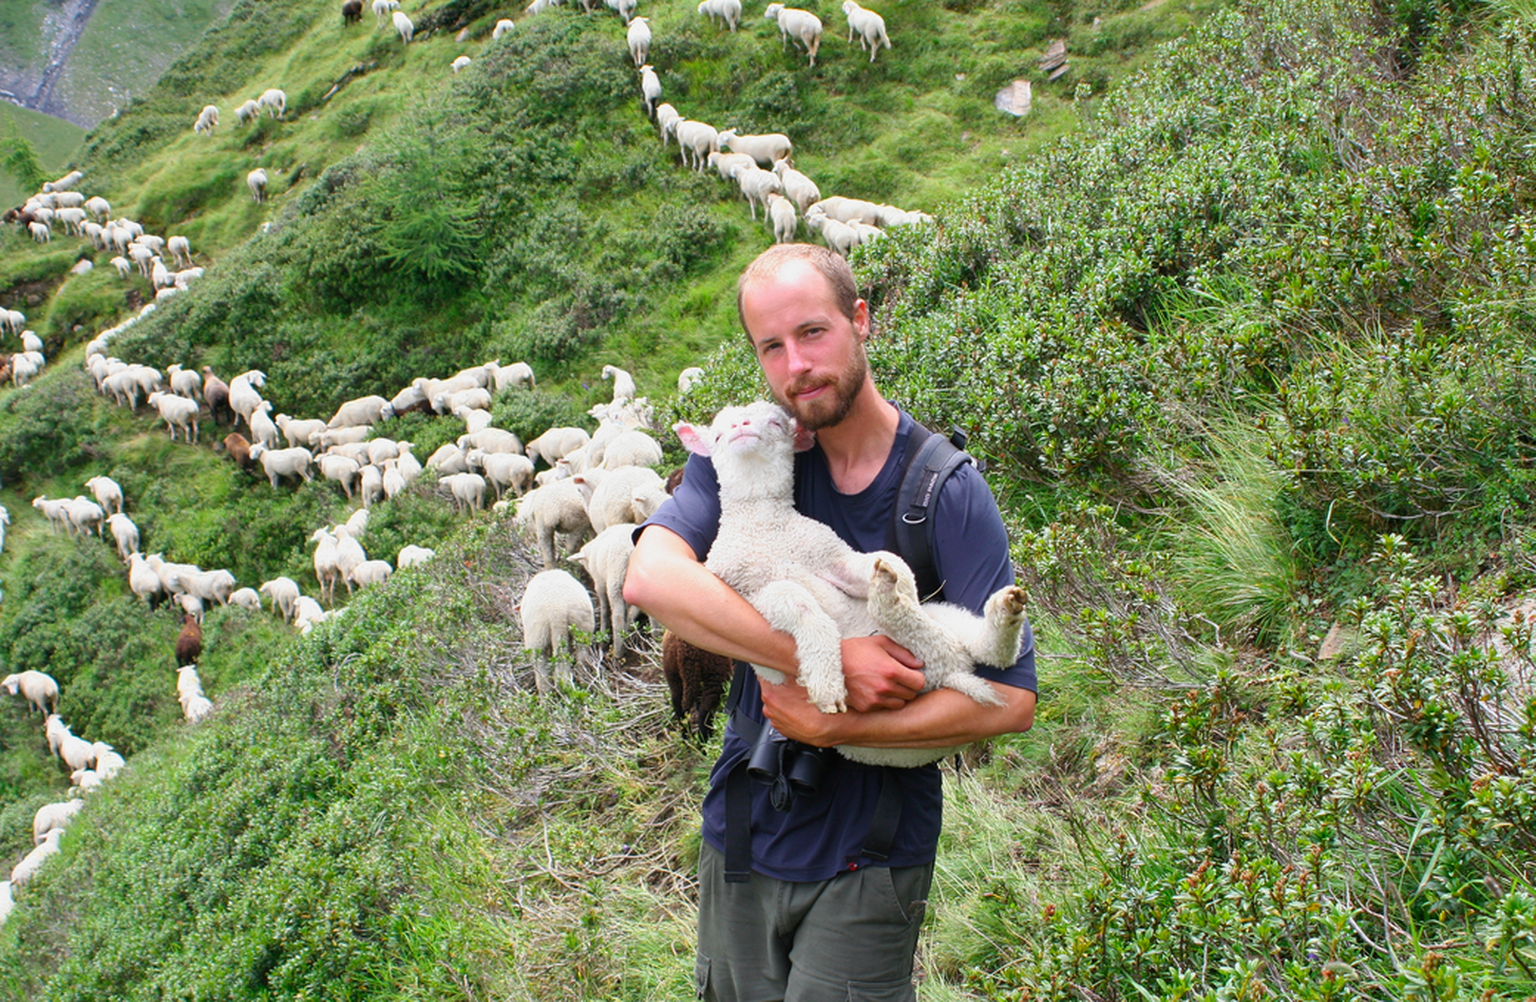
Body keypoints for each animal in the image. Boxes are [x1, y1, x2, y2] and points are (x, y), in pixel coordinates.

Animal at [678, 402, 1026, 768]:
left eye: (775, 422)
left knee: (979, 647)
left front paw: (902, 585)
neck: (765, 527)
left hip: (942, 622)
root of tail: (951, 676)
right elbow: (796, 601)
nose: (741, 427)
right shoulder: (744, 588)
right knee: (946, 645)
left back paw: (993, 610)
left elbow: (888, 560)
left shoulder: (830, 554)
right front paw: (827, 684)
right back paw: (893, 606)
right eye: (718, 434)